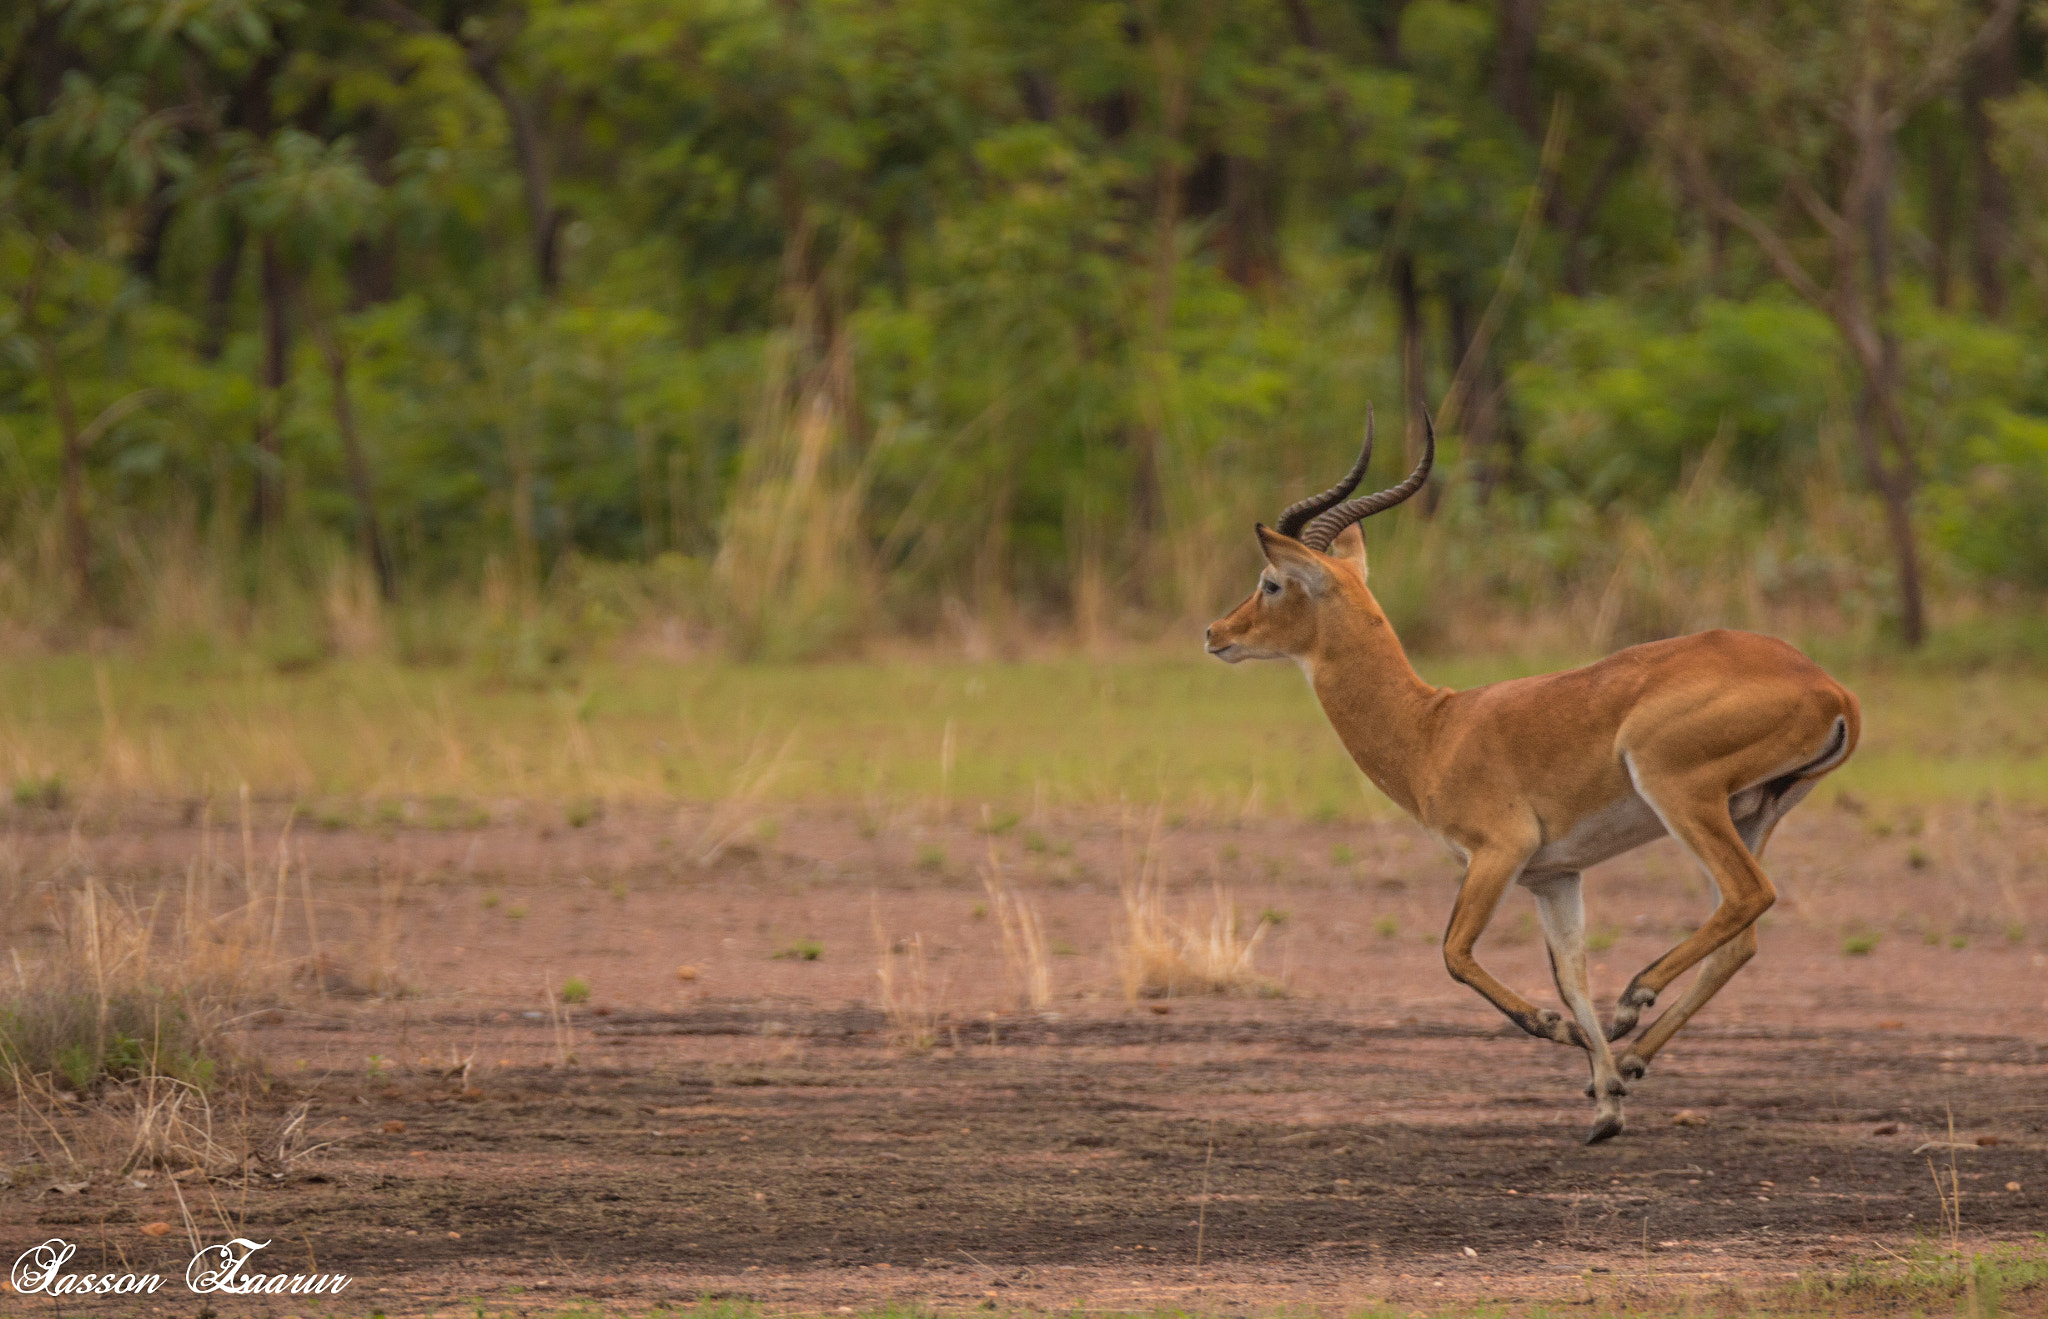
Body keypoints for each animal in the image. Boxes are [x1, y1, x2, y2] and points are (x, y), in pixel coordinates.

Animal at [1205, 410, 1860, 1143]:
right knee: (1739, 932)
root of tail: (1830, 688)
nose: (1215, 632)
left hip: (1677, 791)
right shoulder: (1554, 875)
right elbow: (1571, 973)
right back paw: (1630, 1057)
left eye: (1270, 581)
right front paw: (1605, 1101)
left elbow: (1455, 952)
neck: (1433, 730)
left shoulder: (1499, 851)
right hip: (1754, 811)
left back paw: (1633, 1002)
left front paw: (1565, 1038)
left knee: (1748, 895)